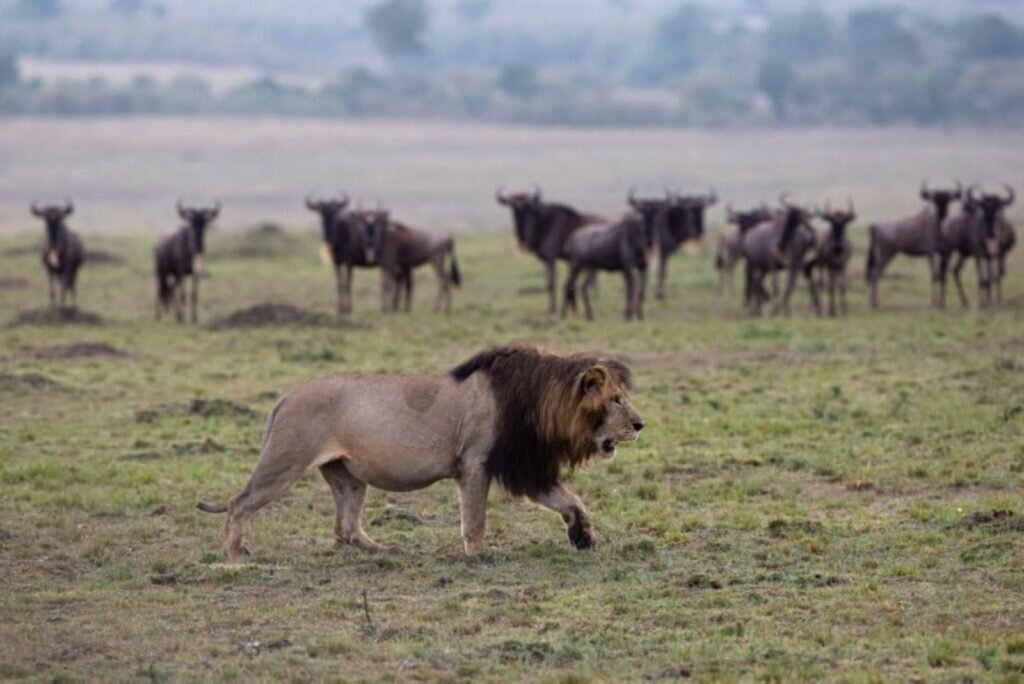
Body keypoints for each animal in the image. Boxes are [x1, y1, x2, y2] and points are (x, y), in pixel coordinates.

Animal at [198, 344, 643, 557]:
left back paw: (385, 550)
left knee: (345, 527)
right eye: (617, 400)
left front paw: (584, 537)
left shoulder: (524, 467)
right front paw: (478, 554)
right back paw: (236, 553)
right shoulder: (476, 464)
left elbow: (571, 500)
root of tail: (286, 396)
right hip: (284, 462)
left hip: (347, 476)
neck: (543, 403)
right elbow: (475, 520)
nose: (640, 425)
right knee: (238, 502)